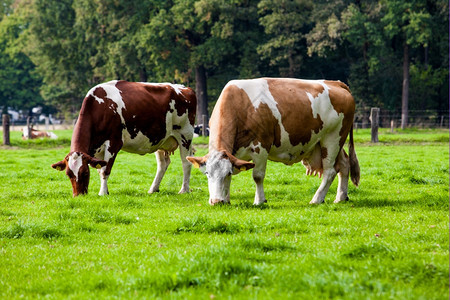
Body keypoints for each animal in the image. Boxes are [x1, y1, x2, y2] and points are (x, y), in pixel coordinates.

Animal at [51, 79, 196, 197]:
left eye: (85, 173)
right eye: (68, 174)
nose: (78, 195)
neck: (101, 107)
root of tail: (185, 88)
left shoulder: (113, 143)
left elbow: (105, 170)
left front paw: (102, 193)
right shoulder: (97, 150)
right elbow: (100, 170)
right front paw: (106, 190)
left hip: (185, 135)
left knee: (186, 162)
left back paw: (184, 190)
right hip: (160, 140)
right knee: (163, 164)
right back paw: (153, 189)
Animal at [186, 77, 358, 205]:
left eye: (227, 173)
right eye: (207, 173)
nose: (216, 201)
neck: (240, 105)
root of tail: (335, 83)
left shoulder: (261, 146)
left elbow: (257, 176)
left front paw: (259, 201)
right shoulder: (232, 154)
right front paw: (226, 199)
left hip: (332, 139)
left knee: (330, 171)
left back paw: (317, 199)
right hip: (328, 143)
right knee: (344, 164)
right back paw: (341, 197)